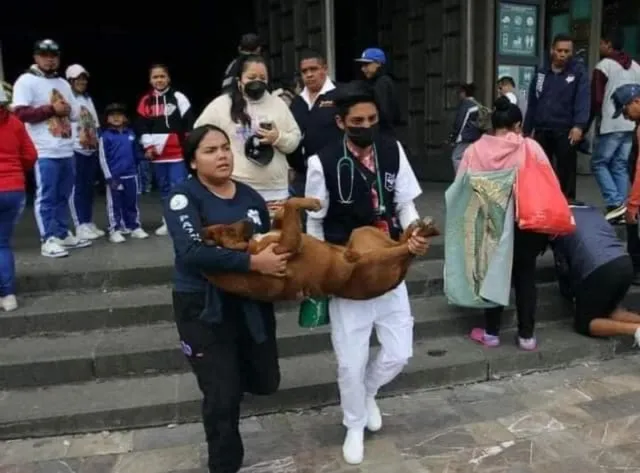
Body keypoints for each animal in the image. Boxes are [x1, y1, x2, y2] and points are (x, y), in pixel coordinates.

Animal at [202, 197, 438, 300]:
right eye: (229, 231)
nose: (248, 219)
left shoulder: (283, 233)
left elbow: (285, 207)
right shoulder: (287, 246)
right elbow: (290, 203)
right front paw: (312, 203)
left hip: (362, 232)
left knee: (400, 242)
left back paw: (416, 229)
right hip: (373, 260)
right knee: (403, 250)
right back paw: (421, 234)